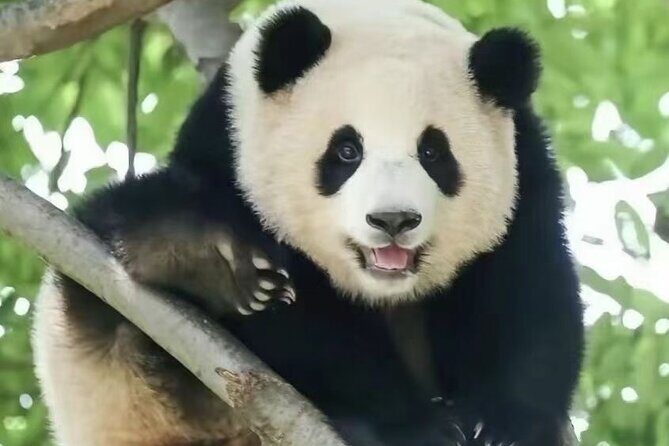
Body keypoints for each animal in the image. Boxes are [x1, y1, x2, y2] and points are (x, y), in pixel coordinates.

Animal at [32, 0, 584, 444]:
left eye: (433, 152)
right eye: (346, 150)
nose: (393, 220)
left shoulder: (526, 176)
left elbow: (530, 296)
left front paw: (504, 425)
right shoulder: (229, 148)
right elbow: (307, 335)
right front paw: (416, 427)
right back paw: (200, 257)